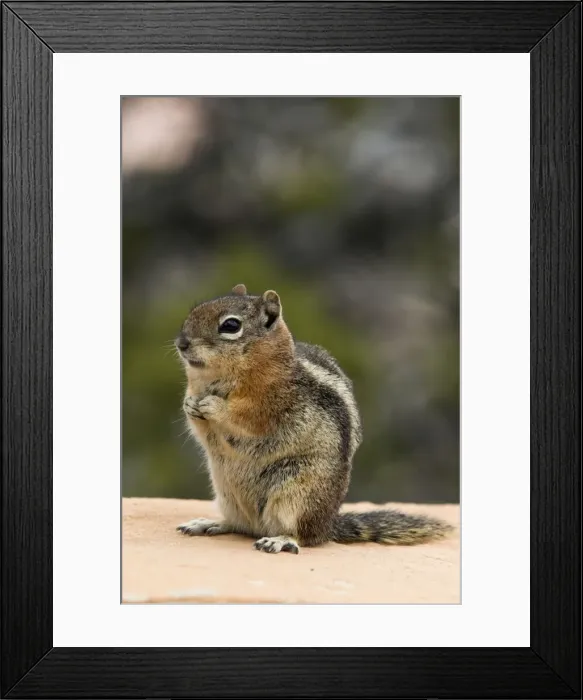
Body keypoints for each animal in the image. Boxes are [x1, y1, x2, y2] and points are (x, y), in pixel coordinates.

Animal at [175, 283, 452, 554]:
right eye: (193, 312)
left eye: (230, 325)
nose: (181, 343)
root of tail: (327, 526)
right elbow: (198, 424)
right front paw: (189, 404)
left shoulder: (269, 404)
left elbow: (245, 417)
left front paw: (213, 405)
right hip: (226, 493)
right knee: (240, 525)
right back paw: (208, 523)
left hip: (298, 494)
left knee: (302, 535)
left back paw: (280, 540)